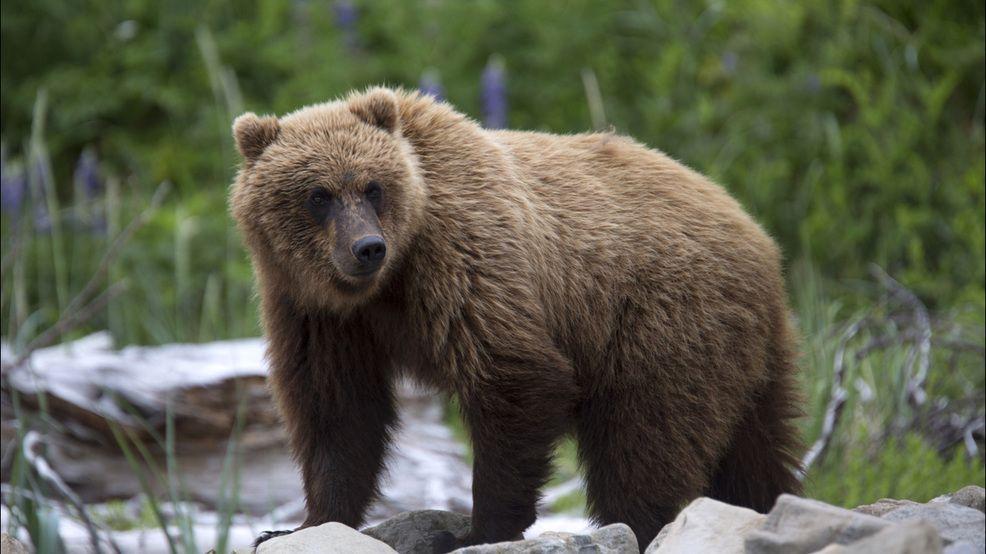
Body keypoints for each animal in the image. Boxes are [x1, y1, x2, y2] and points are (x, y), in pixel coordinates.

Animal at [229, 87, 800, 548]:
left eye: (372, 186)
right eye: (318, 195)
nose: (367, 247)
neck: (385, 286)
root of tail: (760, 237)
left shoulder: (464, 258)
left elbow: (512, 378)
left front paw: (475, 530)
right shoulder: (313, 310)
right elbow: (336, 408)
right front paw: (301, 524)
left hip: (661, 321)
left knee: (645, 439)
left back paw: (638, 522)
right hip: (743, 352)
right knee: (756, 451)